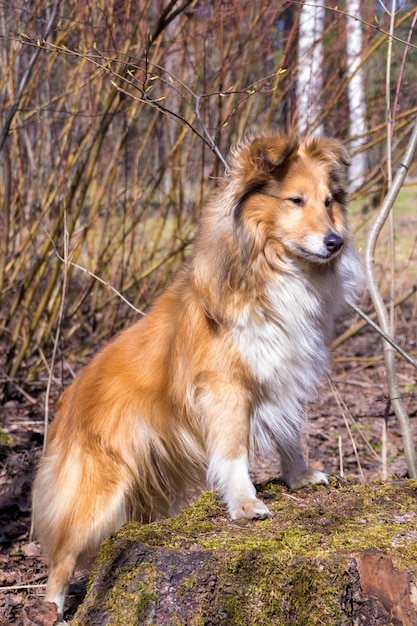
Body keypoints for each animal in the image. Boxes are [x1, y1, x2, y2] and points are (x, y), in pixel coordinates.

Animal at [32, 134, 362, 616]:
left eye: (328, 201)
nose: (335, 242)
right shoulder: (224, 389)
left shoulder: (282, 374)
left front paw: (299, 478)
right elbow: (233, 451)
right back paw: (52, 608)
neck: (272, 267)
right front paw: (245, 504)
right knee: (62, 555)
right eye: (295, 200)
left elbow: (289, 434)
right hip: (99, 487)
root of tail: (68, 394)